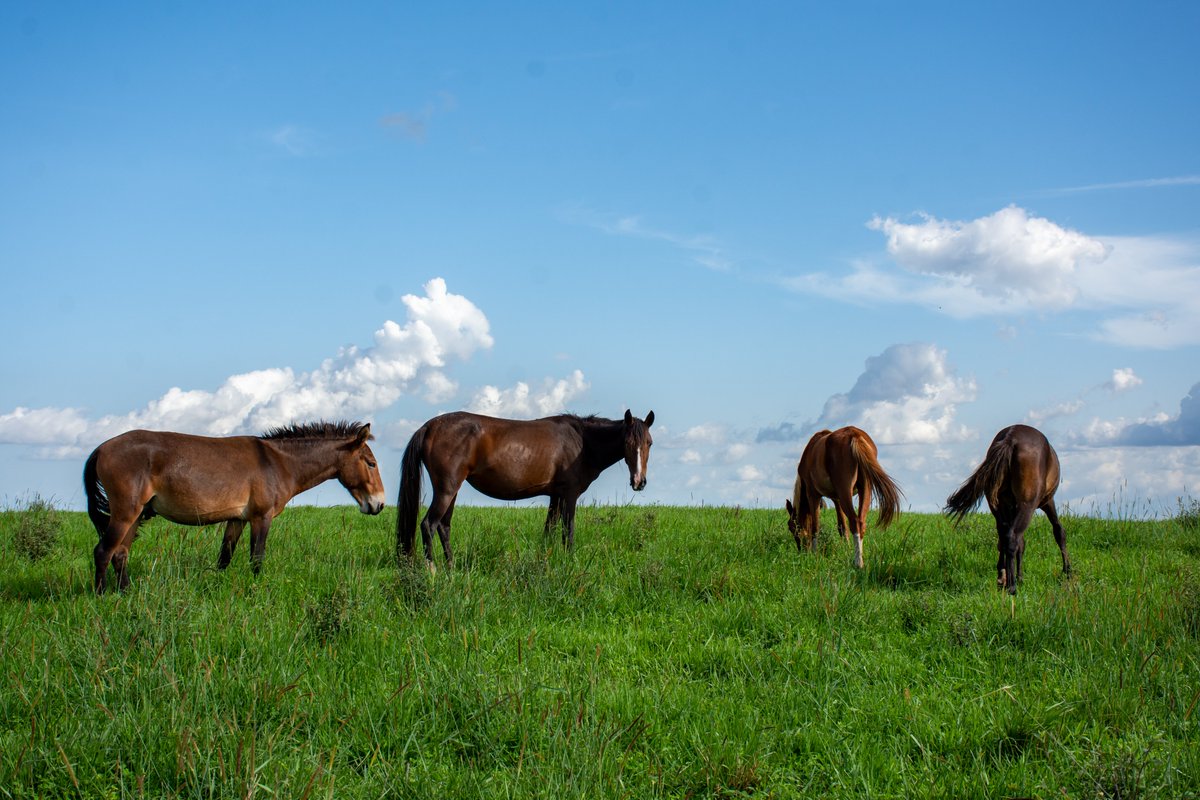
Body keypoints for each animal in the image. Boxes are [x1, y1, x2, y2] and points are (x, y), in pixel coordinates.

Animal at [83, 421, 386, 594]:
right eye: (371, 463)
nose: (380, 504)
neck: (276, 462)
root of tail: (101, 448)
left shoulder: (237, 519)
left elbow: (224, 559)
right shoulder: (261, 518)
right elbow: (256, 559)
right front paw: (256, 591)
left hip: (134, 516)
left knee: (120, 554)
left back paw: (125, 593)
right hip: (125, 514)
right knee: (103, 551)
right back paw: (101, 595)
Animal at [396, 410, 654, 567]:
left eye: (649, 443)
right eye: (627, 443)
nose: (639, 482)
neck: (582, 442)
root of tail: (430, 426)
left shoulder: (555, 496)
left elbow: (549, 529)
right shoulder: (569, 495)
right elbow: (567, 532)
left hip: (452, 491)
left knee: (444, 526)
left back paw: (452, 568)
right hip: (446, 490)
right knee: (429, 524)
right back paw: (433, 571)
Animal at [785, 426, 903, 569]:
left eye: (792, 527)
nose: (801, 550)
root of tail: (854, 435)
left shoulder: (813, 494)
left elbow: (815, 527)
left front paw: (814, 555)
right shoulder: (837, 499)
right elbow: (842, 526)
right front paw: (846, 549)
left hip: (845, 492)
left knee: (855, 522)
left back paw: (858, 563)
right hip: (864, 490)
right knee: (860, 523)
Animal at [944, 424, 1071, 595]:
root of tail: (1011, 438)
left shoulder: (1009, 509)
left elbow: (1016, 543)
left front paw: (1012, 576)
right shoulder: (1047, 502)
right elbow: (1058, 531)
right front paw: (1067, 571)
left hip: (998, 507)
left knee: (1005, 538)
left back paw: (1003, 579)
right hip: (1027, 505)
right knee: (1012, 538)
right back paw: (1012, 586)